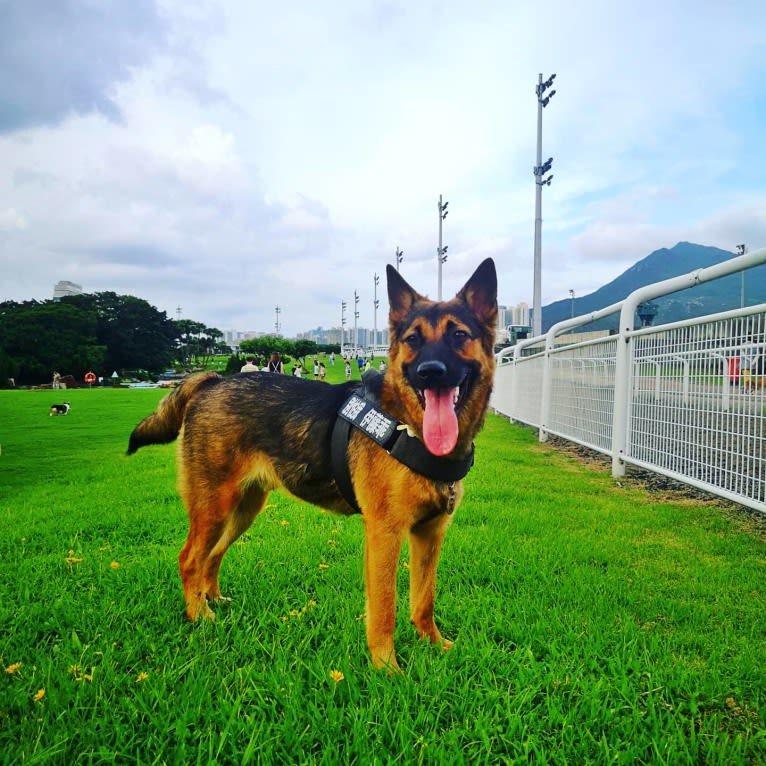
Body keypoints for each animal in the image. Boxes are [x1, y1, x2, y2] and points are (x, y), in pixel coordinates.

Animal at [127, 260, 498, 672]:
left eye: (459, 335)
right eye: (413, 340)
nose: (429, 372)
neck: (408, 427)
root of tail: (212, 380)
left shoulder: (430, 535)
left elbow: (424, 599)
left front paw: (433, 645)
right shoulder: (385, 533)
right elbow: (384, 608)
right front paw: (387, 669)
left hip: (241, 510)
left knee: (212, 555)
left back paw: (213, 601)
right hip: (214, 506)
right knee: (190, 558)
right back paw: (199, 616)